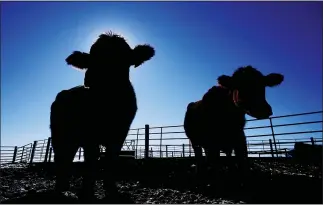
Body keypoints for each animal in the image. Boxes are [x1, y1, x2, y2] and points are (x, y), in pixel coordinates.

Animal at [50, 32, 156, 200]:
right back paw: (60, 187)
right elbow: (91, 160)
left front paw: (111, 189)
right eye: (92, 57)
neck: (106, 101)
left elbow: (110, 159)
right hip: (59, 133)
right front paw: (87, 191)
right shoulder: (89, 135)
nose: (89, 77)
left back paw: (65, 185)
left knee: (68, 156)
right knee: (60, 157)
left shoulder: (120, 133)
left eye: (123, 59)